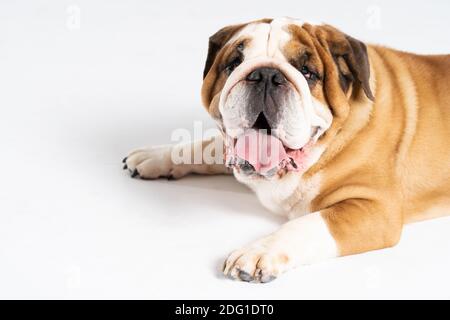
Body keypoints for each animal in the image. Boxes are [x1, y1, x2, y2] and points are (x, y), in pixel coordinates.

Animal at [123, 16, 450, 282]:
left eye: (307, 71)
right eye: (234, 63)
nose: (266, 75)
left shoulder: (375, 208)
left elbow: (308, 224)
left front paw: (259, 252)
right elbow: (207, 145)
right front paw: (157, 155)